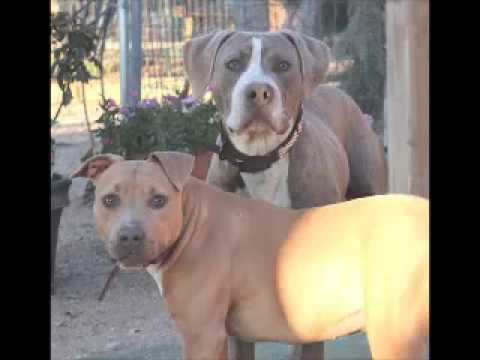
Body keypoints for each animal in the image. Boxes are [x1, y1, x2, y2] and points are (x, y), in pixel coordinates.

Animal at [73, 151, 430, 360]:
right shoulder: (233, 337)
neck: (192, 221)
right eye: (109, 201)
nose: (130, 236)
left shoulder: (202, 336)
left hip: (394, 337)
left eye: (159, 200)